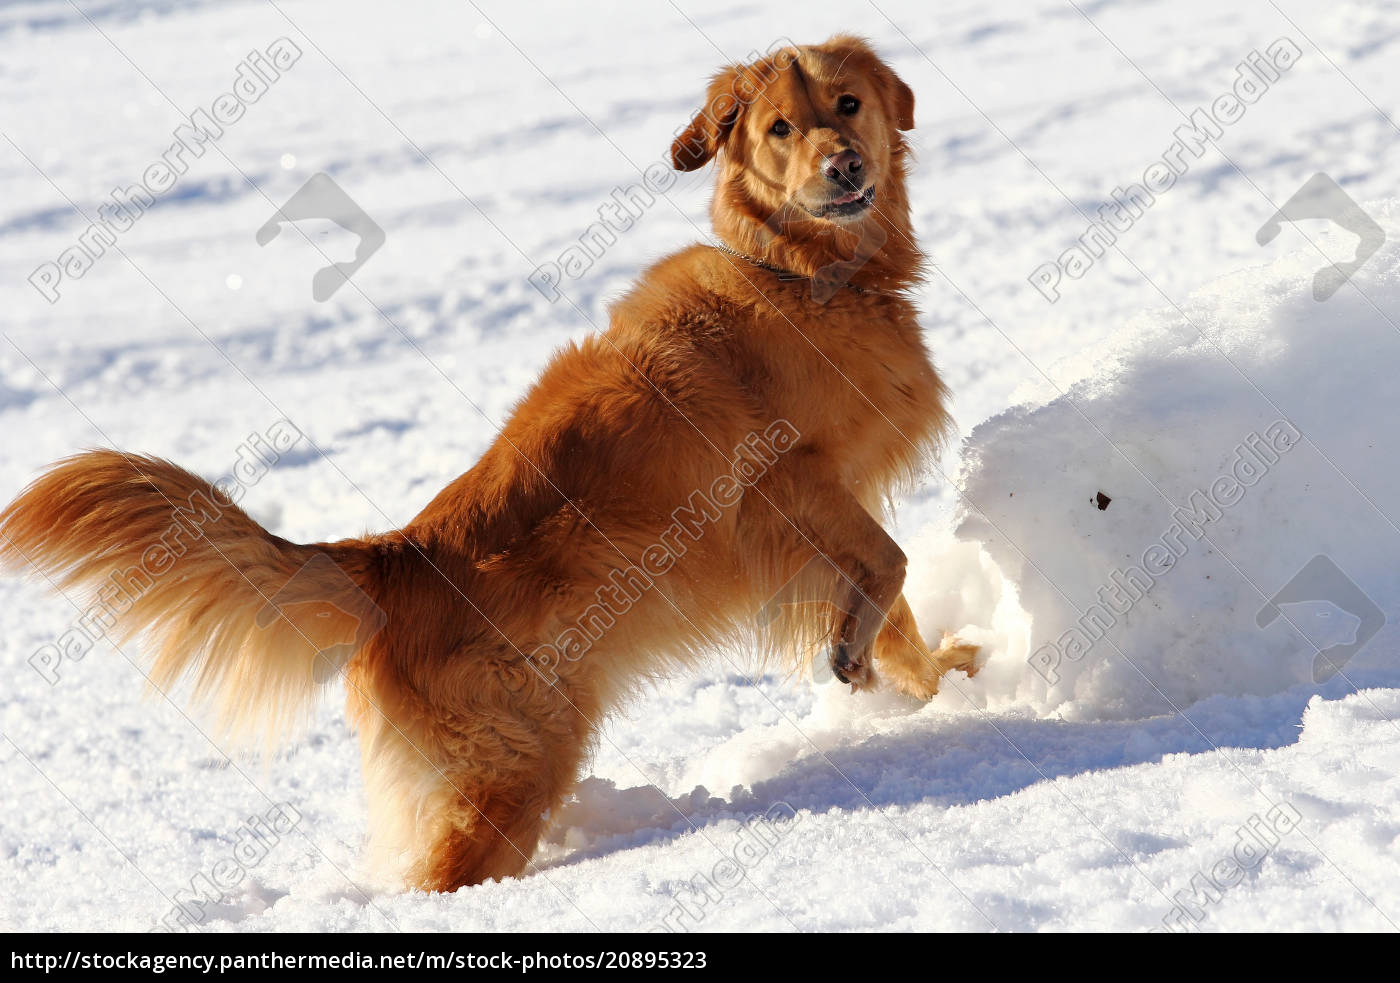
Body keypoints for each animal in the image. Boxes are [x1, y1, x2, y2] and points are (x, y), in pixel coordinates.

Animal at [0, 34, 980, 896]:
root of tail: (393, 559)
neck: (798, 273)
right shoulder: (787, 482)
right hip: (516, 764)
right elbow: (889, 564)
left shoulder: (824, 511)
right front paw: (876, 660)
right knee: (440, 879)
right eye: (779, 128)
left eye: (847, 105)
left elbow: (893, 606)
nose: (842, 167)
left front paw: (937, 687)